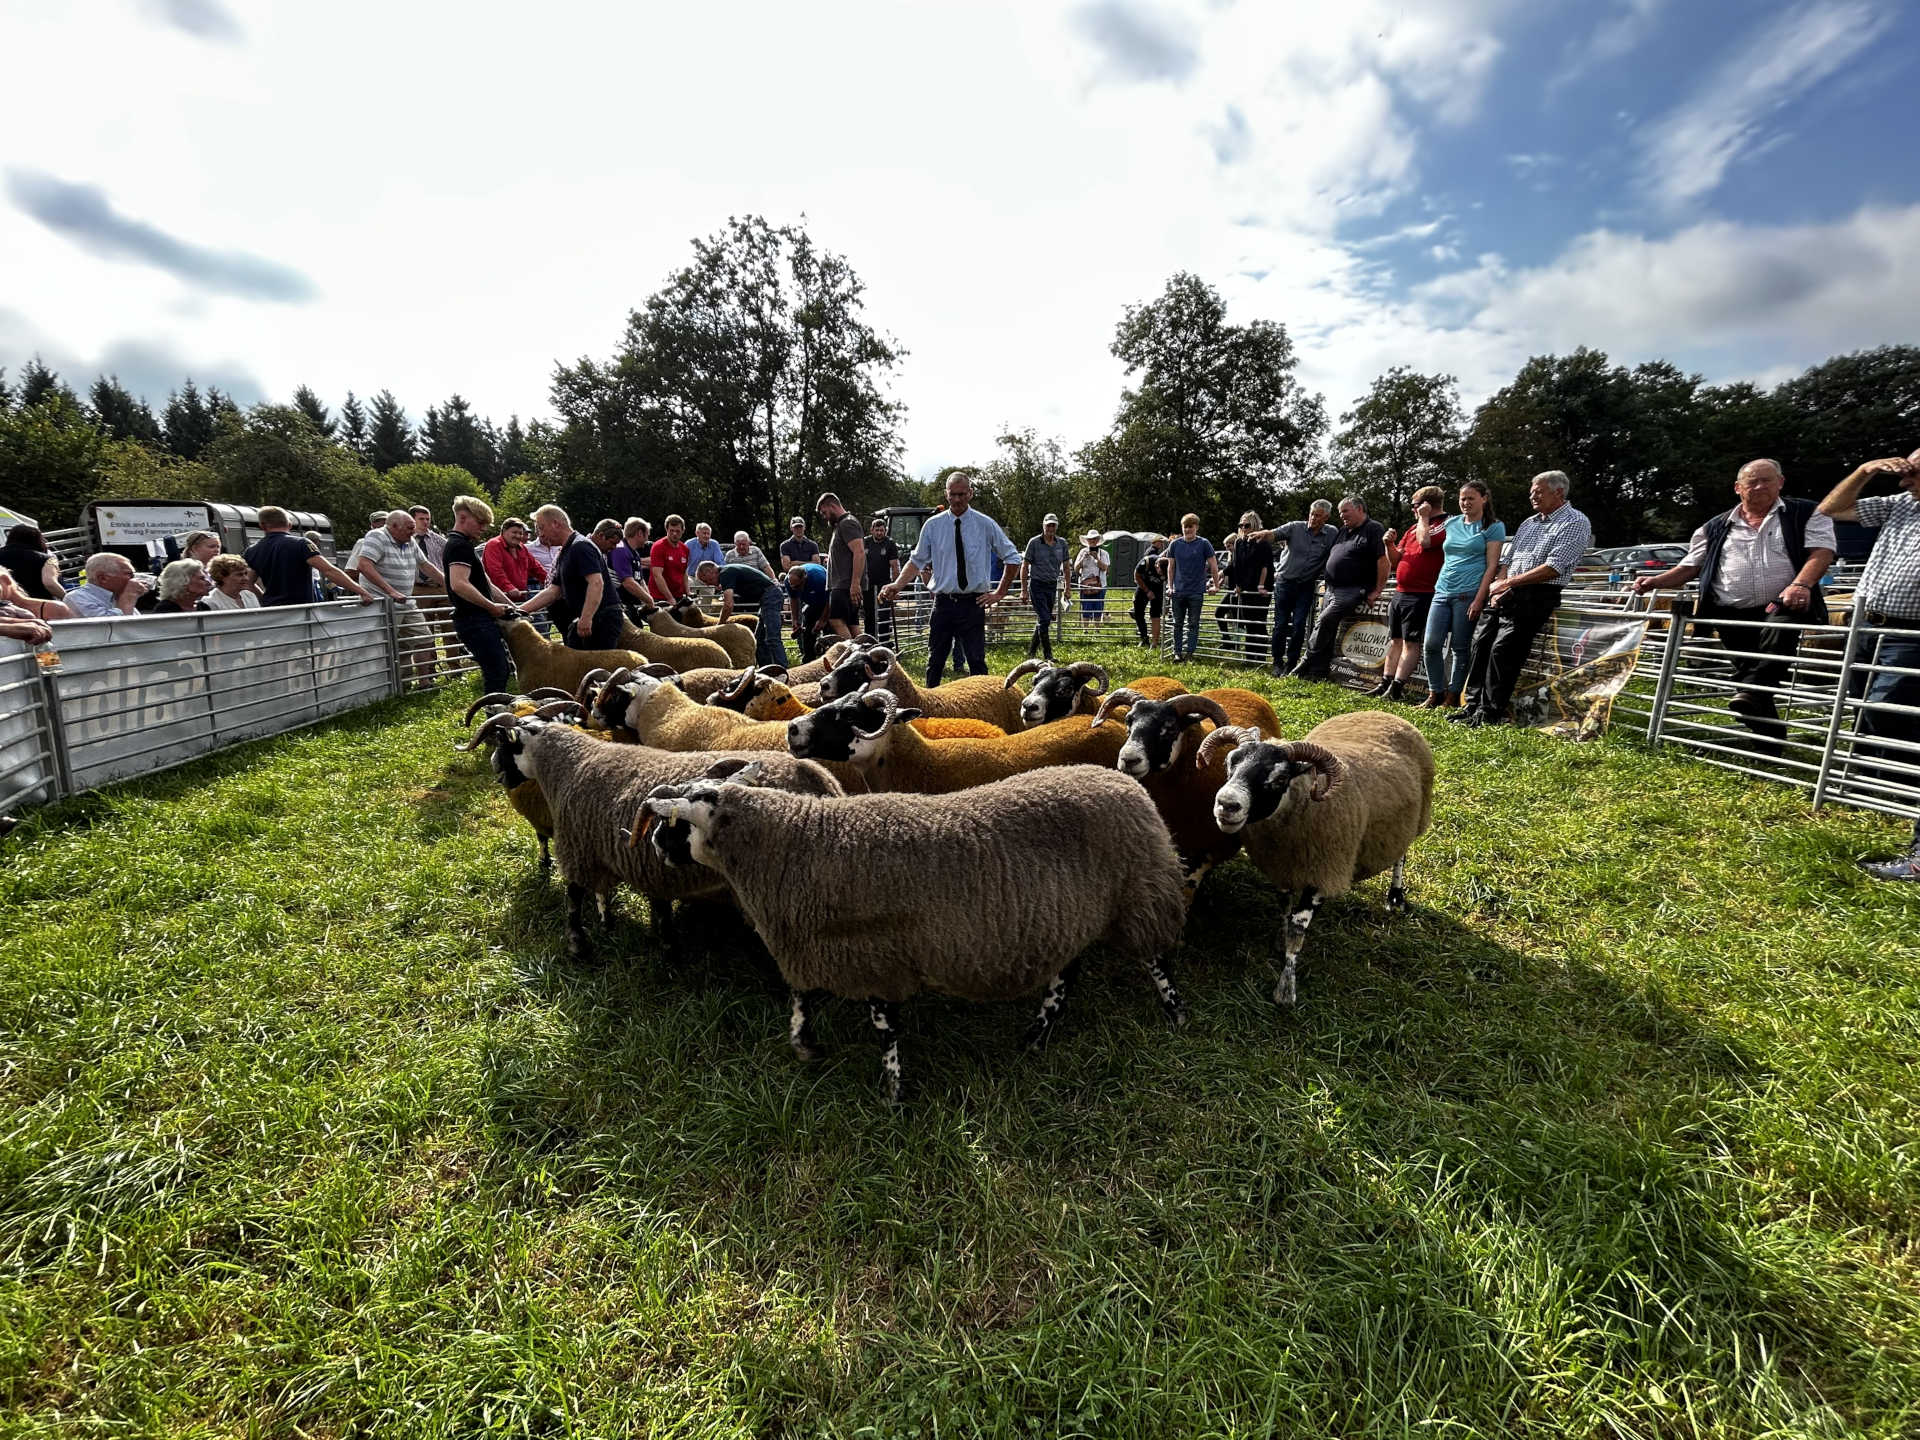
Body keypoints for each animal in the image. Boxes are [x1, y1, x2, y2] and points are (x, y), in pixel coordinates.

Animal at [464, 718, 840, 963]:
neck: (567, 765)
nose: (497, 770)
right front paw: (614, 925)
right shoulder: (609, 853)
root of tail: (819, 778)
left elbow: (573, 898)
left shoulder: (577, 847)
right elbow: (614, 897)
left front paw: (578, 946)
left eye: (502, 744)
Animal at [637, 768, 1190, 1105]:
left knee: (1157, 961)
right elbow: (799, 1001)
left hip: (1141, 895)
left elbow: (885, 1031)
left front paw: (893, 1092)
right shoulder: (820, 949)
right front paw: (806, 1046)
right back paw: (1035, 1037)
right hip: (1069, 918)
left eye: (678, 822)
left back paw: (1175, 1016)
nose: (657, 847)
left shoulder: (876, 958)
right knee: (1065, 977)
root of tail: (1129, 784)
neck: (794, 840)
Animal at [1205, 714, 1436, 1006]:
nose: (1227, 804)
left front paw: (1286, 988)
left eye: (1280, 778)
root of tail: (1385, 714)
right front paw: (1280, 940)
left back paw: (1395, 897)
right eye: (1229, 763)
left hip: (1413, 820)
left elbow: (1297, 931)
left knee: (1401, 856)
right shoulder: (1282, 868)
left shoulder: (1323, 872)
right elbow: (1284, 910)